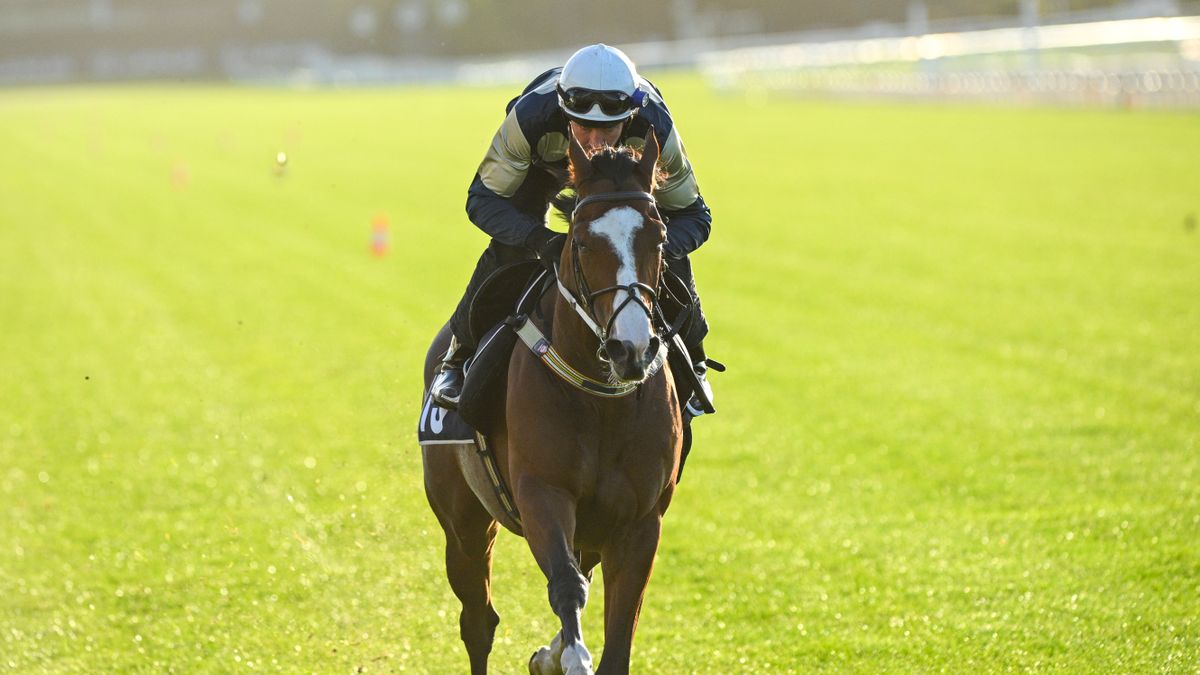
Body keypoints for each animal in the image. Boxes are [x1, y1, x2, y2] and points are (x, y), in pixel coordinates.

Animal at [422, 127, 686, 672]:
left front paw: (560, 653)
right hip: (462, 522)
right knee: (477, 621)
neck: (603, 401)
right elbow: (566, 585)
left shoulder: (639, 524)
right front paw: (568, 654)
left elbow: (616, 644)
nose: (632, 348)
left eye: (659, 238)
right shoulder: (542, 493)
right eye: (582, 242)